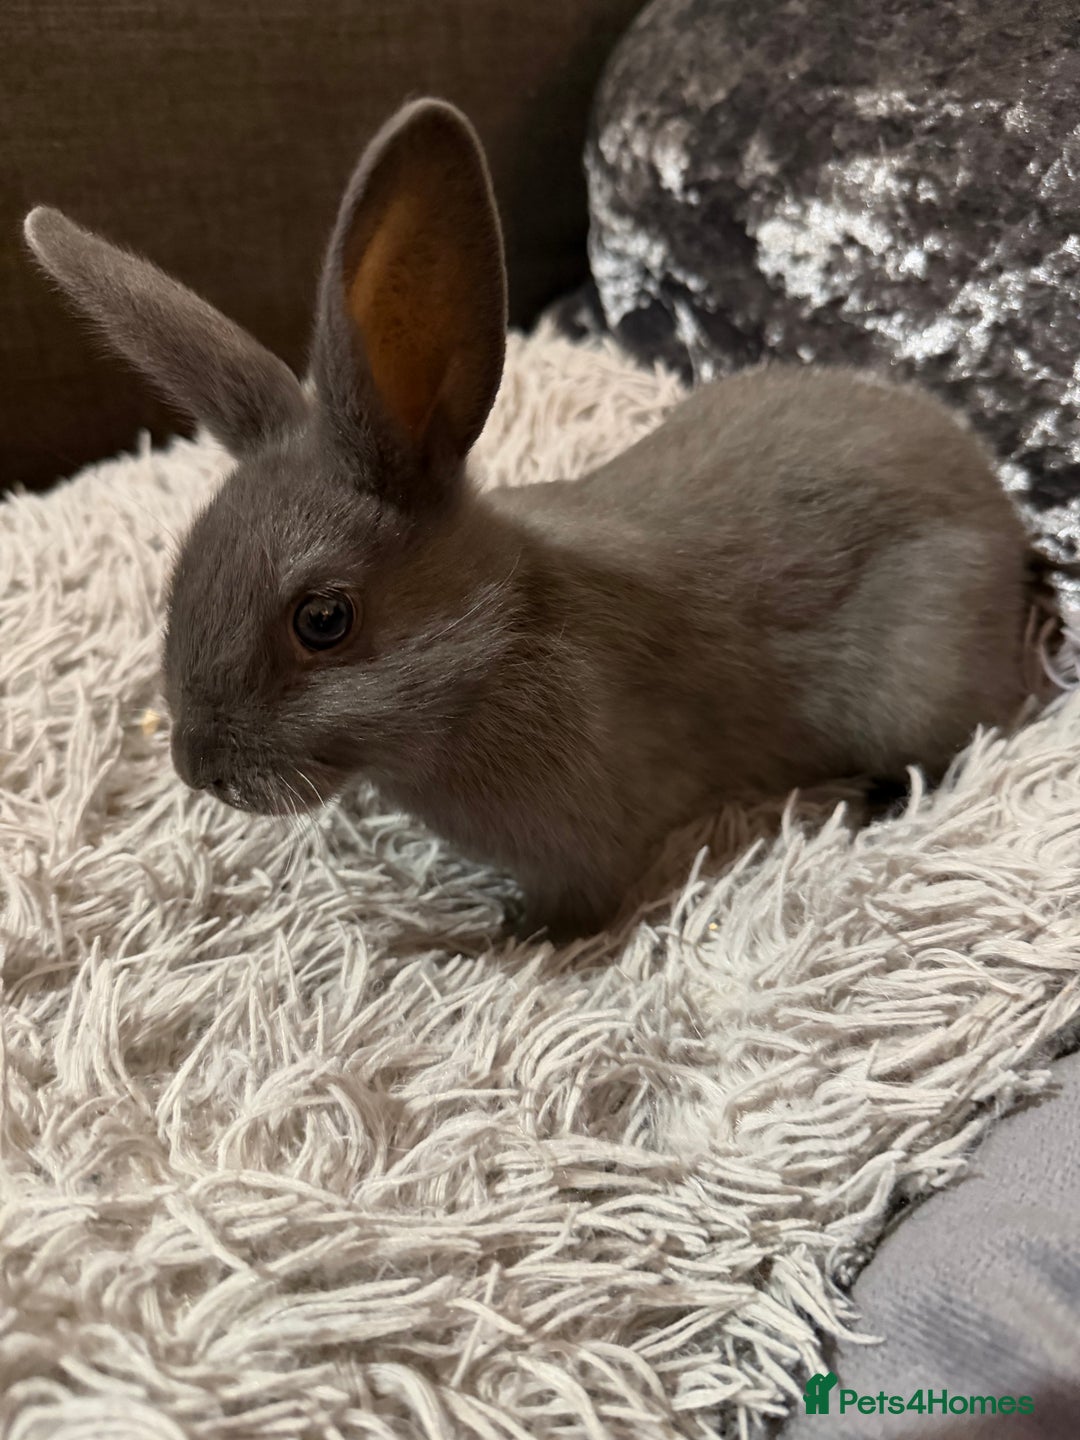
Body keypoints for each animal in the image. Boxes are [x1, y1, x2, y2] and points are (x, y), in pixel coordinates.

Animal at [23, 98, 1057, 940]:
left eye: (324, 620)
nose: (196, 766)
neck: (498, 637)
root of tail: (1001, 521)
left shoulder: (583, 856)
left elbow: (561, 920)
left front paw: (452, 946)